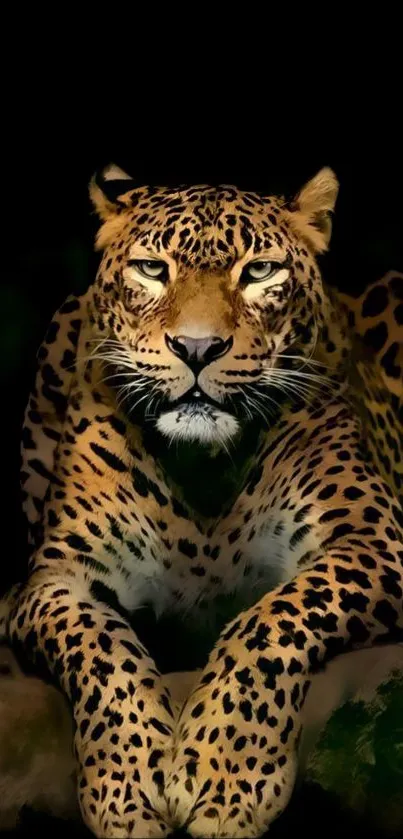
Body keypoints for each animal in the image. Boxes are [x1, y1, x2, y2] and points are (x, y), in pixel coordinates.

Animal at [1, 164, 402, 838]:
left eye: (260, 271)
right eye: (152, 269)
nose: (195, 348)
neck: (203, 470)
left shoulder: (376, 539)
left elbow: (274, 617)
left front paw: (226, 775)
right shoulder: (55, 581)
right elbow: (101, 649)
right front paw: (129, 788)